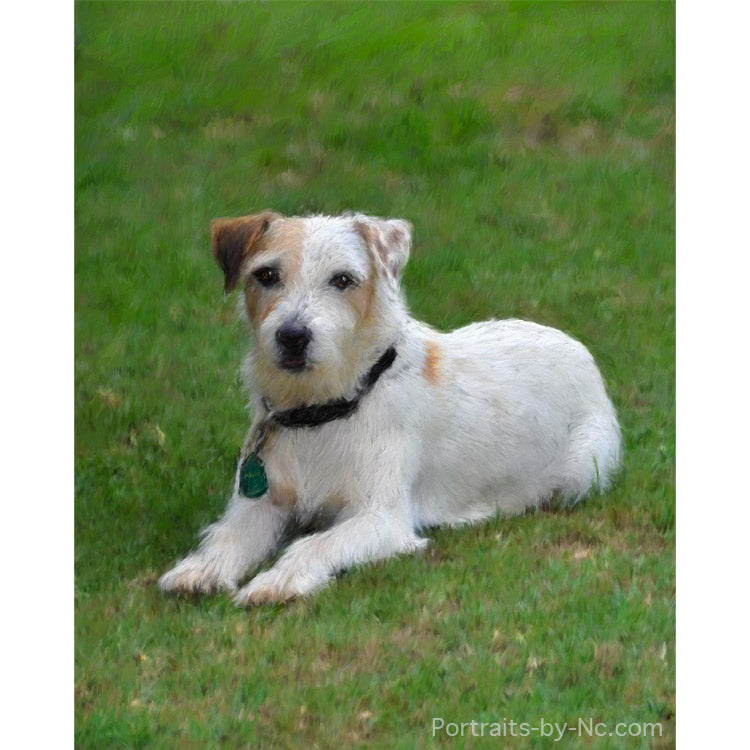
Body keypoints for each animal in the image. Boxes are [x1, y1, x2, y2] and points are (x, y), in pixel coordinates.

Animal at [159, 212, 624, 604]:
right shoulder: (260, 504)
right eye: (266, 275)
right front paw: (200, 569)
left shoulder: (380, 517)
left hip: (583, 468)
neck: (321, 410)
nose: (292, 336)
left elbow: (313, 543)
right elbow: (227, 536)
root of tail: (577, 346)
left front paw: (277, 580)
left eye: (343, 280)